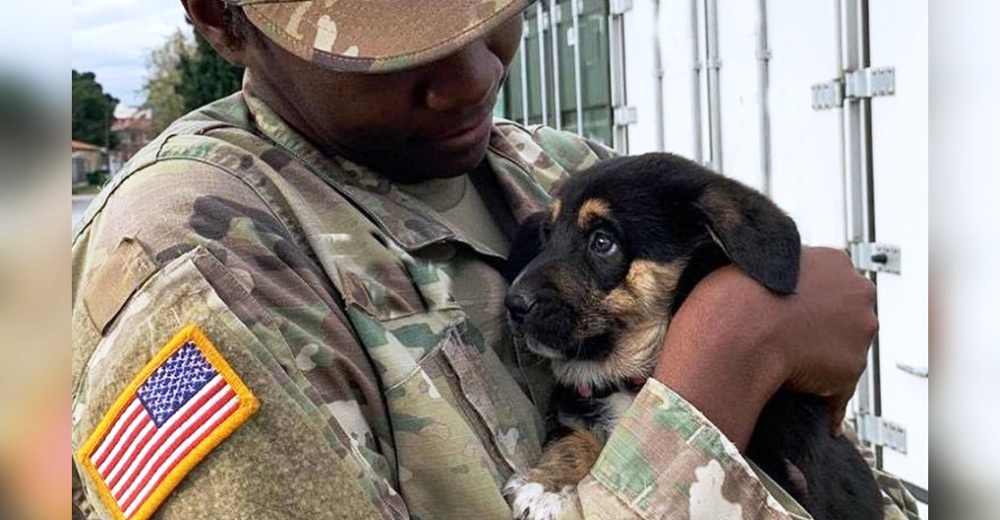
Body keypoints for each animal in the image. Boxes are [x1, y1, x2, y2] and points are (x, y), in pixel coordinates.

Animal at [504, 153, 880, 520]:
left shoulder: (788, 474)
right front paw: (550, 483)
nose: (512, 304)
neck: (632, 377)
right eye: (547, 235)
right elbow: (575, 434)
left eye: (602, 242)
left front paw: (548, 487)